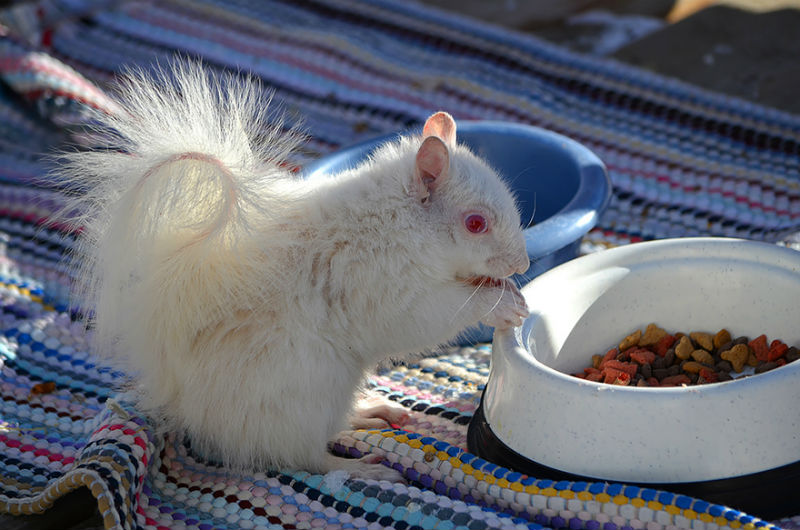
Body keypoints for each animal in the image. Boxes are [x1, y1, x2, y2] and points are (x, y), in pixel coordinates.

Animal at [57, 62, 532, 478]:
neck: (397, 221)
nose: (523, 264)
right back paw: (361, 467)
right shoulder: (378, 281)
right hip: (308, 394)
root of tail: (182, 398)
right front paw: (501, 304)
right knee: (301, 456)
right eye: (475, 224)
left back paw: (369, 410)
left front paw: (510, 291)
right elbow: (429, 316)